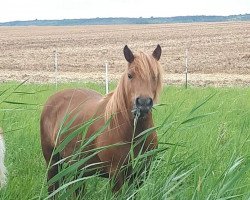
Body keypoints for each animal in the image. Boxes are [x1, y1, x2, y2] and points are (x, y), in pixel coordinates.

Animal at [40, 44, 163, 195]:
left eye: (155, 76)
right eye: (130, 75)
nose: (143, 103)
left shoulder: (141, 172)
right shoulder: (116, 173)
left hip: (77, 168)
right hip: (52, 162)